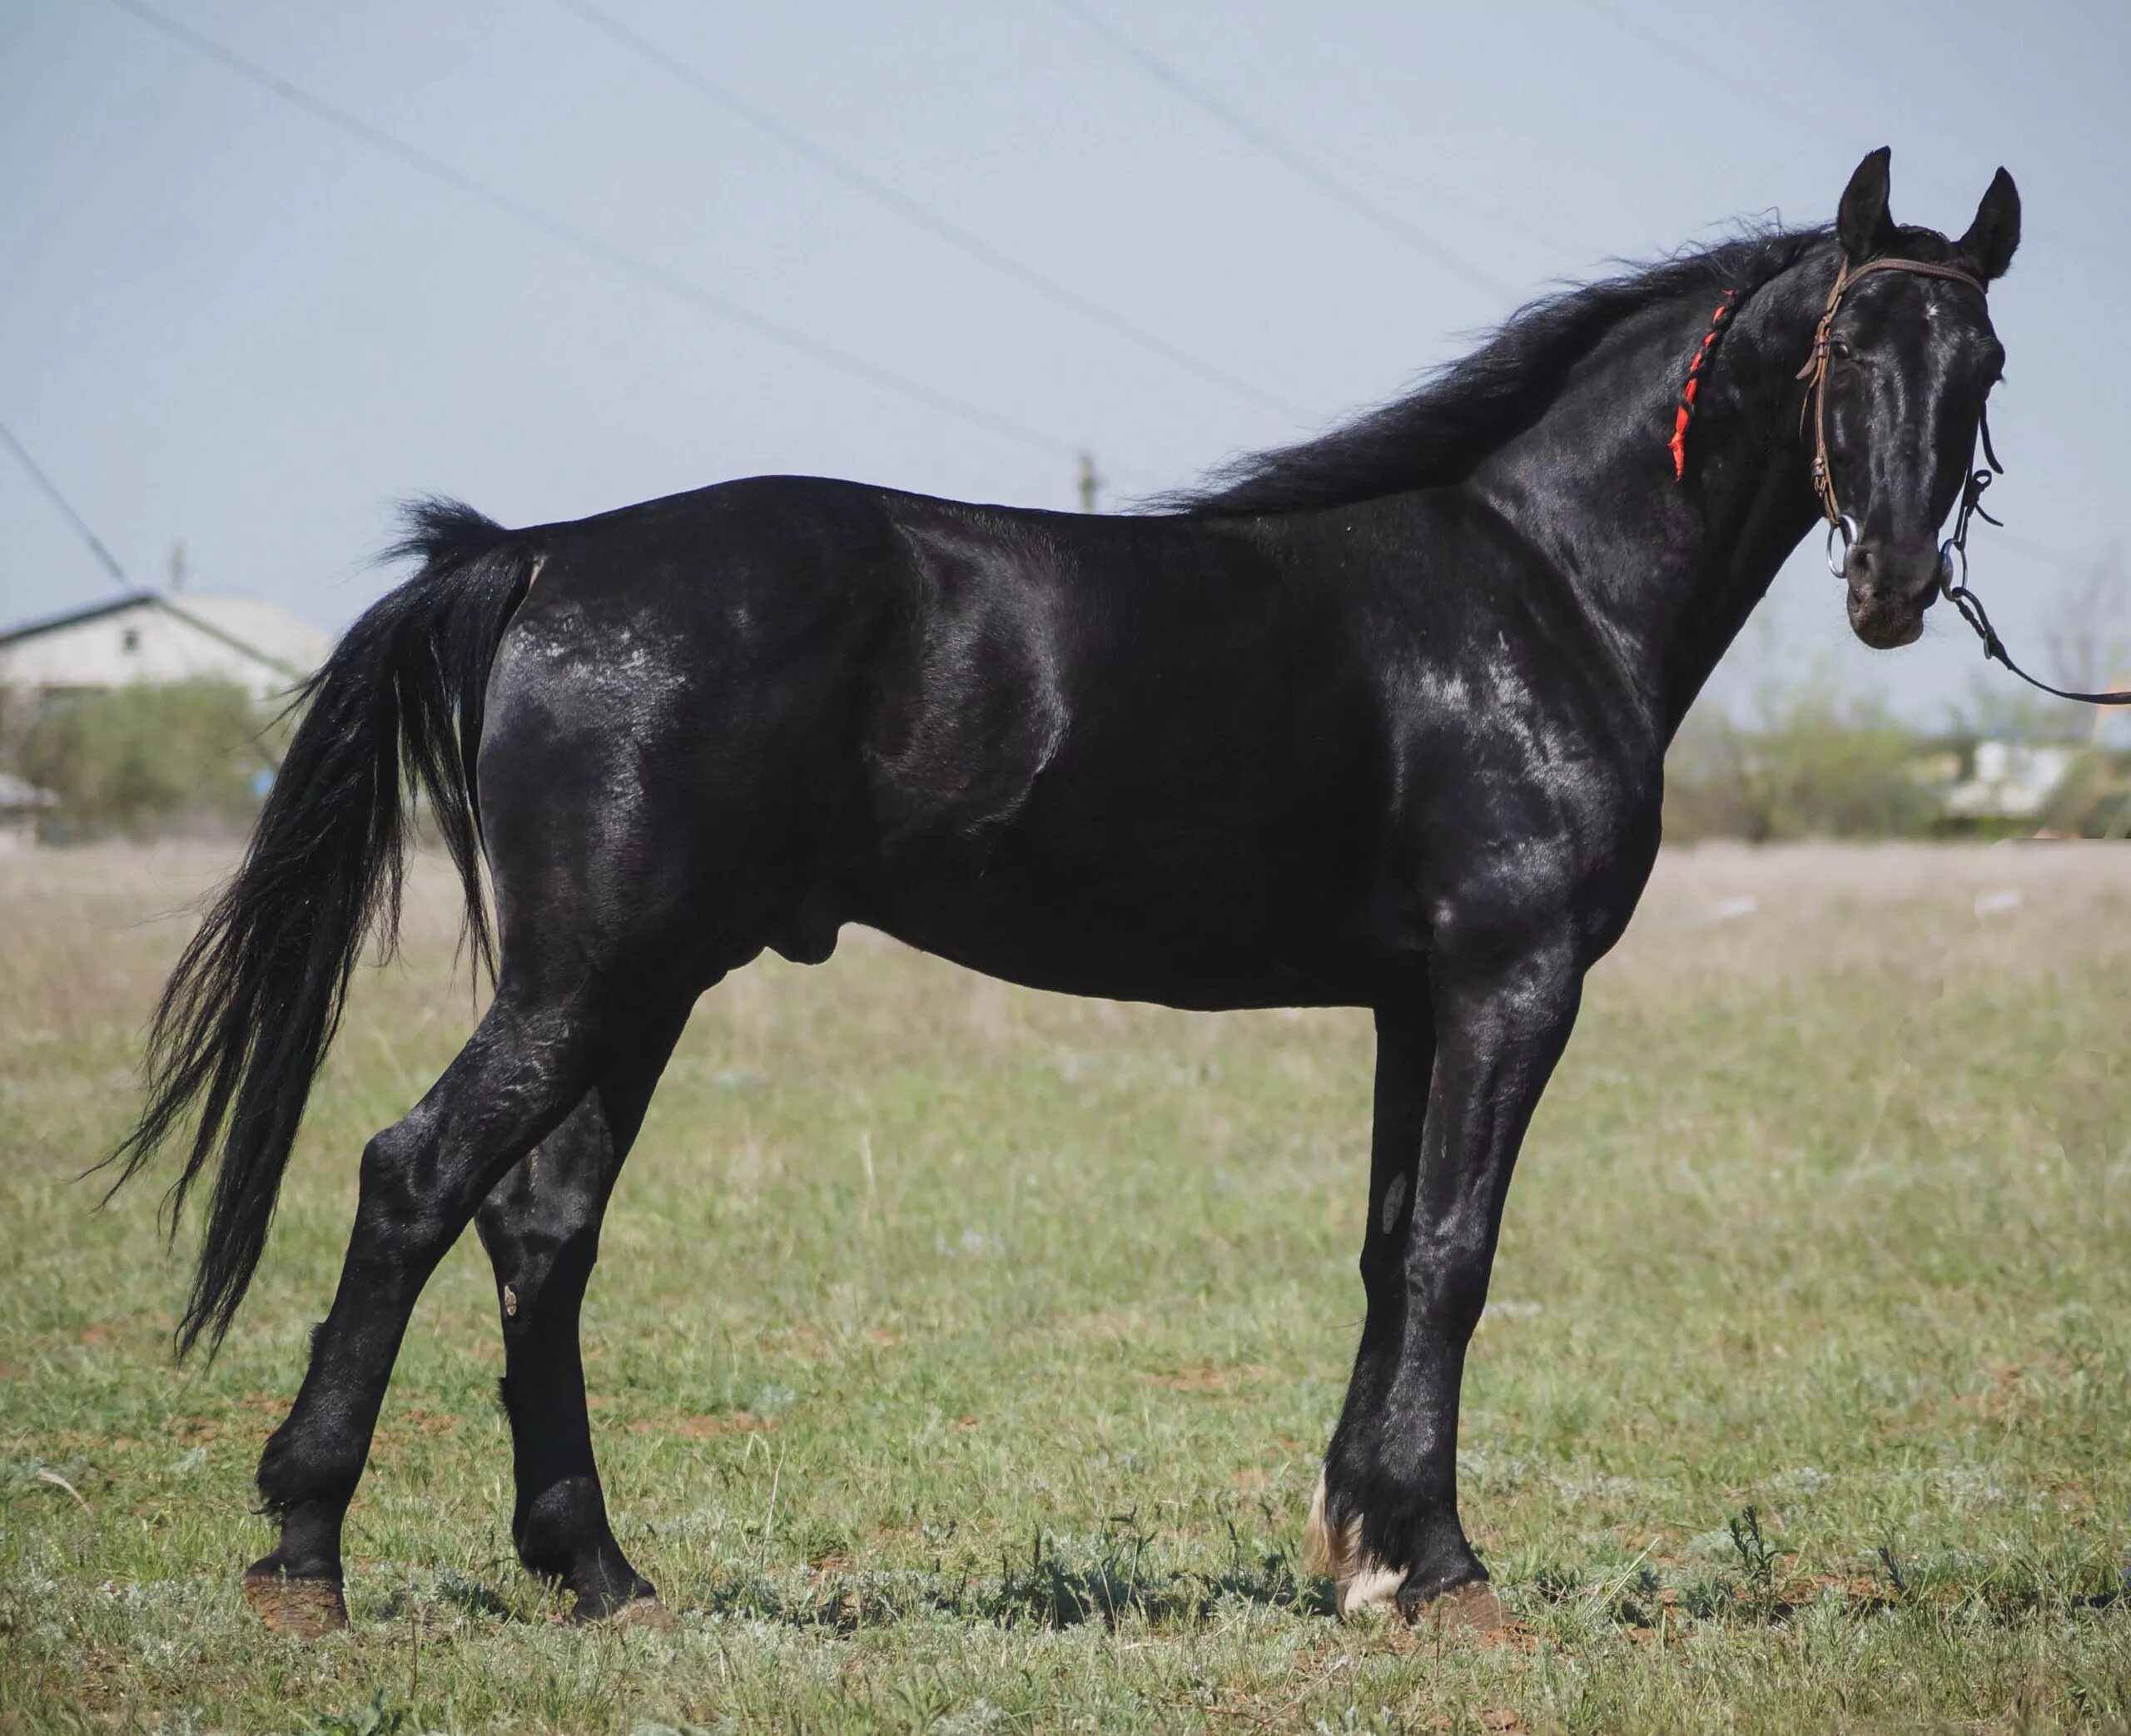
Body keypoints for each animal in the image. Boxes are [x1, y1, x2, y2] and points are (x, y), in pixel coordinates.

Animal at [112, 146, 2011, 1627]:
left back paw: (599, 1573)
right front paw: (1445, 1566)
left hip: (636, 987)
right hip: (588, 977)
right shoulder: (1510, 979)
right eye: (1846, 345)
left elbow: (1389, 1247)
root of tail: (547, 553)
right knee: (415, 1177)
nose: (1895, 581)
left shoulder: (1414, 998)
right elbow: (1457, 1254)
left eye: (1984, 358)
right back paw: (303, 1557)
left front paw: (1360, 1548)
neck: (1535, 586)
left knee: (539, 1229)